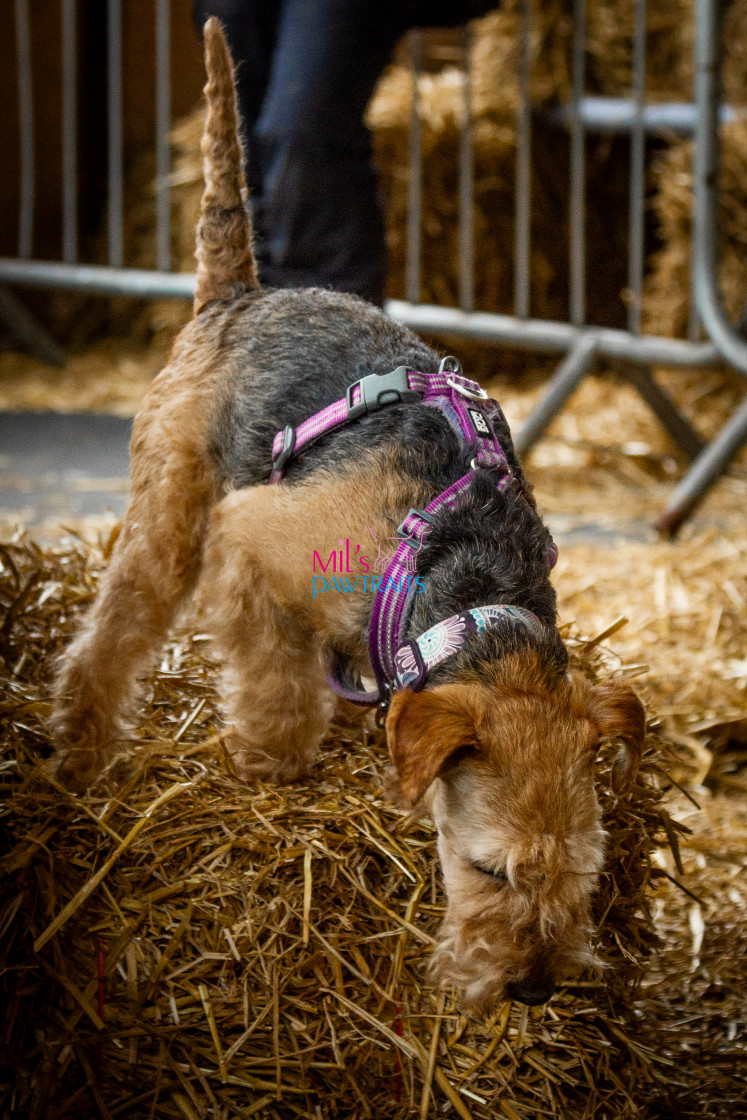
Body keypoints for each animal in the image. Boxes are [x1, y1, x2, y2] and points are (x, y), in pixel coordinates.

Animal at [51, 19, 649, 1016]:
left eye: (585, 874)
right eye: (487, 869)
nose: (528, 988)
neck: (463, 588)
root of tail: (242, 294)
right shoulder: (251, 539)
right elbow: (275, 685)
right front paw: (270, 763)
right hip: (172, 511)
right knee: (111, 635)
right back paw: (81, 745)